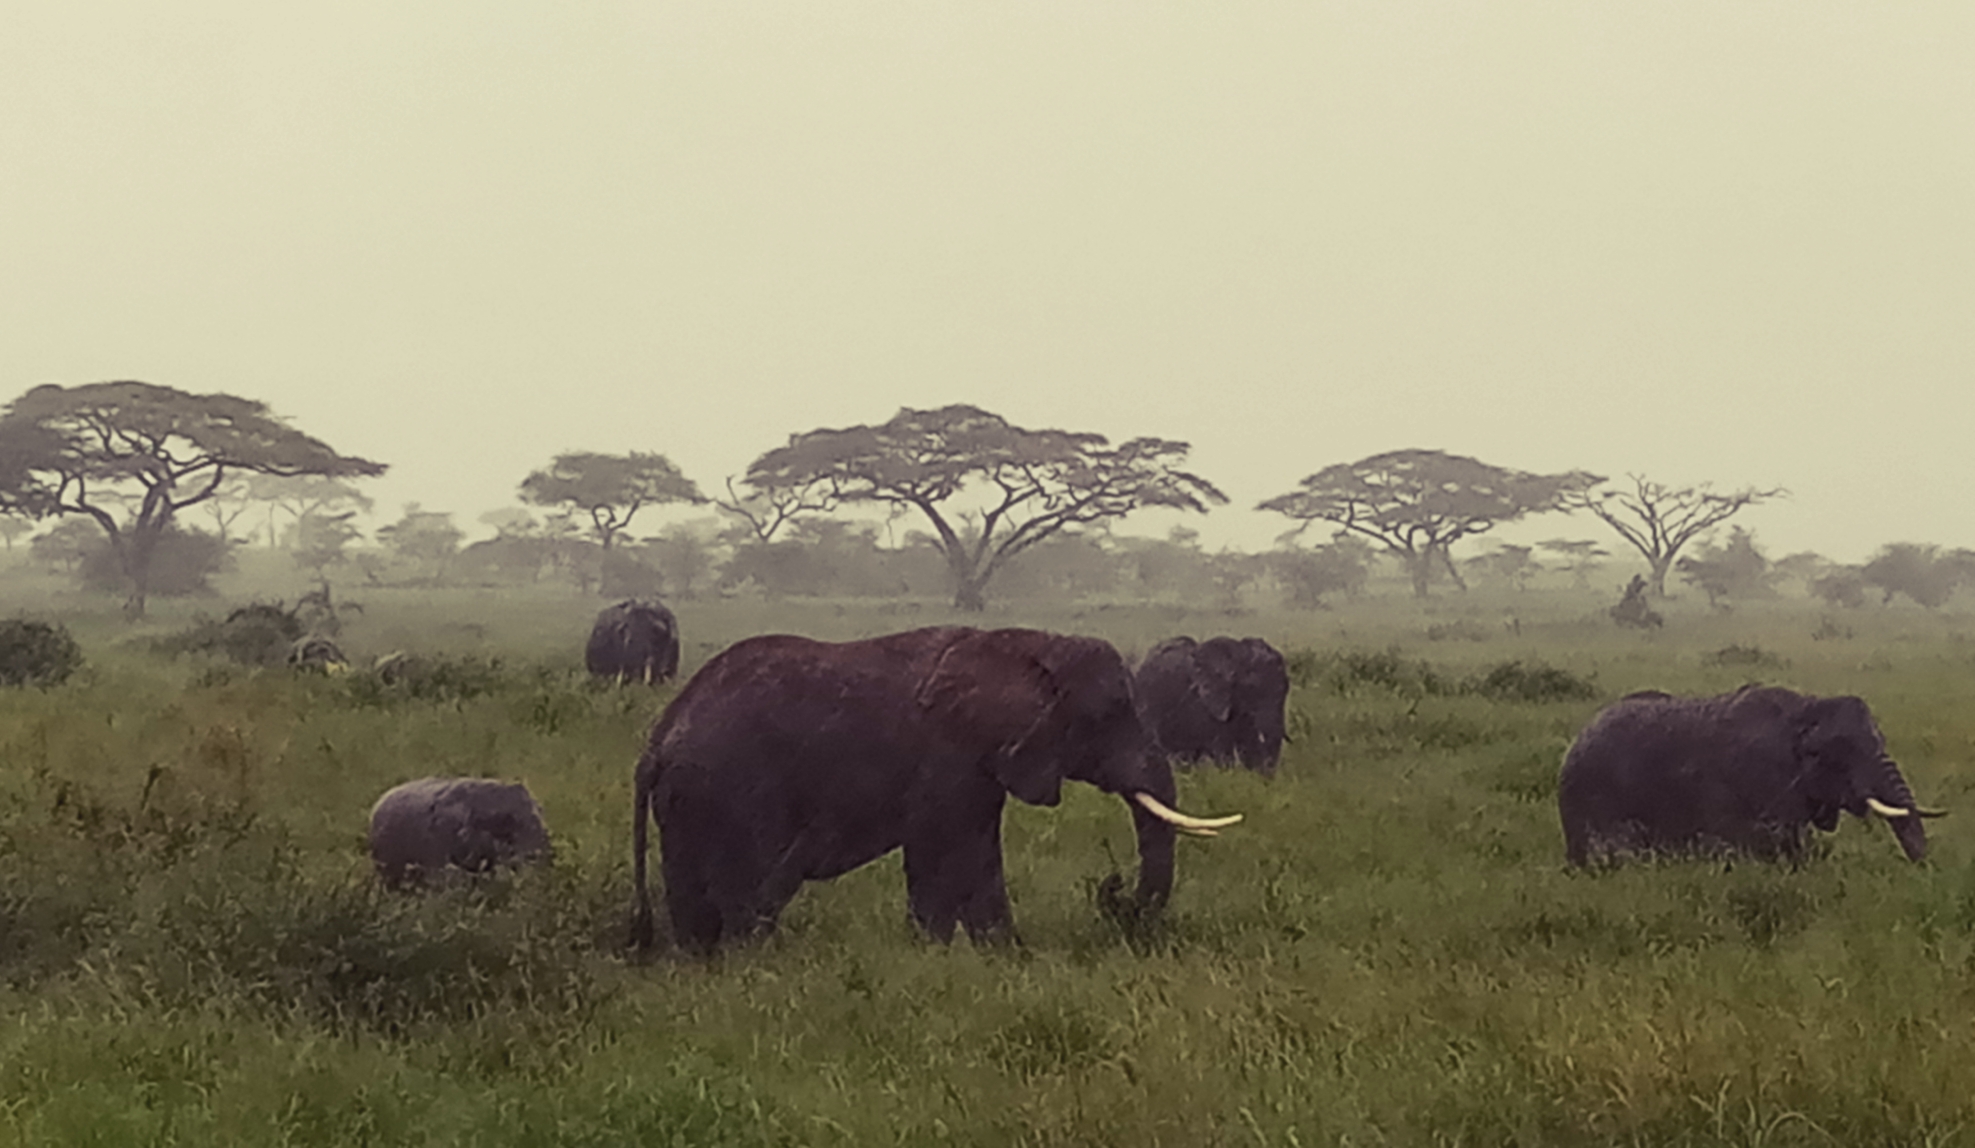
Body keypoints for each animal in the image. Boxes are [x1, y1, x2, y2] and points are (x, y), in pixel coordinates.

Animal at [635, 620, 1248, 952]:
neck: (1029, 645)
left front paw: (1009, 961)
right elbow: (940, 859)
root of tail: (659, 736)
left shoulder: (984, 760)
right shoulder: (946, 756)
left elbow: (978, 860)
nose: (1113, 891)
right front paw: (930, 957)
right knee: (745, 892)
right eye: (1111, 712)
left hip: (689, 801)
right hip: (729, 792)